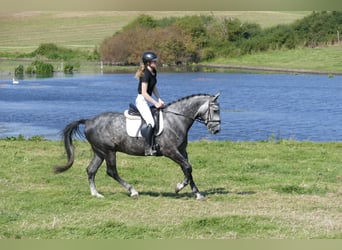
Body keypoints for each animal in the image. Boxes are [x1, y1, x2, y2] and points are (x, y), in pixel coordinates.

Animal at [52, 93, 220, 200]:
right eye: (215, 110)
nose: (216, 130)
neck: (176, 119)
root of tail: (88, 121)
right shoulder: (170, 151)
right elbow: (187, 167)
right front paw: (178, 187)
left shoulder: (182, 151)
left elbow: (187, 169)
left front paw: (197, 193)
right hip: (108, 151)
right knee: (111, 171)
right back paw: (133, 191)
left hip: (99, 152)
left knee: (91, 170)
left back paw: (96, 194)